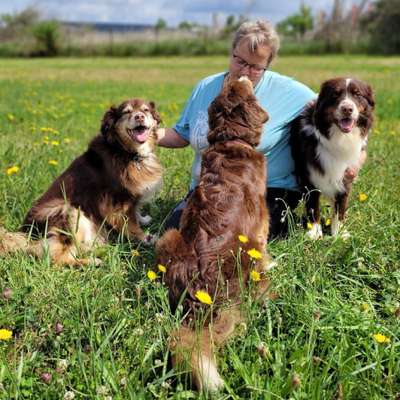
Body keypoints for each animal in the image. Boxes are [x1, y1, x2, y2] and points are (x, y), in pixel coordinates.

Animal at [0, 98, 162, 266]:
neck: (125, 151)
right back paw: (92, 262)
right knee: (58, 258)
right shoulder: (119, 203)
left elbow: (136, 212)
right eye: (126, 112)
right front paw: (146, 238)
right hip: (69, 211)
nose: (139, 117)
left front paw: (144, 219)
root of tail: (26, 233)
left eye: (145, 110)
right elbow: (132, 225)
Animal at [156, 76, 272, 392]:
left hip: (169, 236)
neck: (231, 139)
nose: (238, 75)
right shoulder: (262, 228)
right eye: (237, 88)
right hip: (252, 262)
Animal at [290, 79, 376, 239]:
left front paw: (339, 233)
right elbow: (313, 206)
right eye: (335, 94)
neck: (339, 138)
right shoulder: (309, 176)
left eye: (357, 94)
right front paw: (314, 233)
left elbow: (340, 206)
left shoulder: (346, 175)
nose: (347, 109)